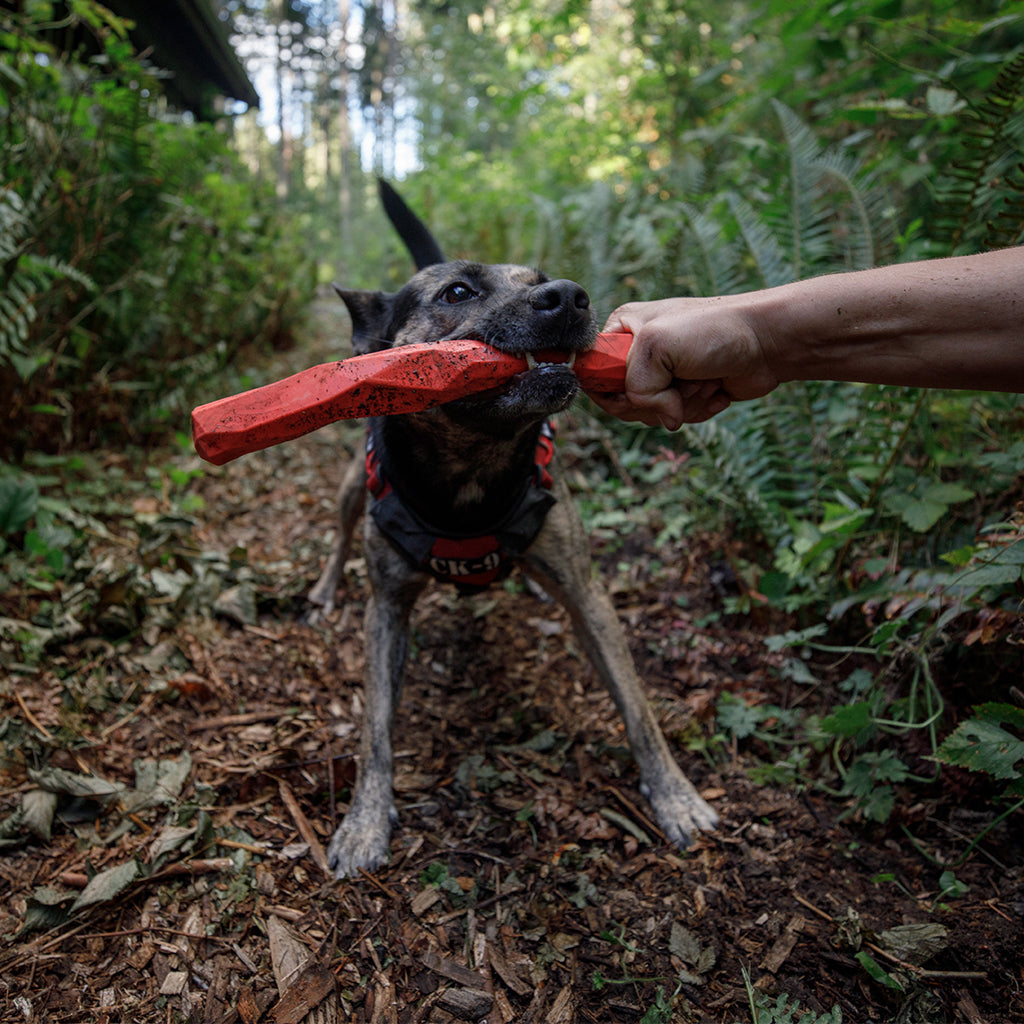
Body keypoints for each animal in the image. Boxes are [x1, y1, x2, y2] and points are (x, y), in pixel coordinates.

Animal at [307, 180, 716, 876]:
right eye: (457, 292)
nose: (571, 296)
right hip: (350, 492)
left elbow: (638, 708)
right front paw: (364, 823)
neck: (474, 466)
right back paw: (325, 589)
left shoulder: (589, 597)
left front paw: (674, 796)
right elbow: (375, 732)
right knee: (337, 538)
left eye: (543, 281)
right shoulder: (386, 610)